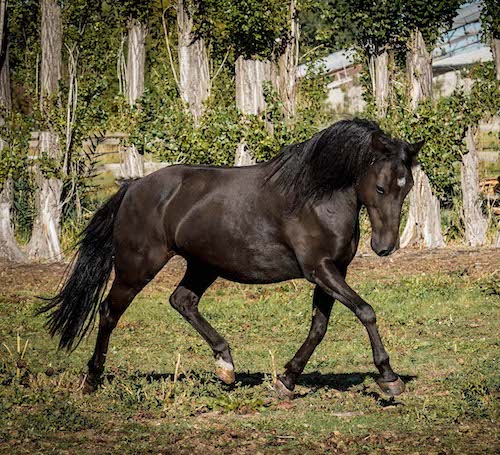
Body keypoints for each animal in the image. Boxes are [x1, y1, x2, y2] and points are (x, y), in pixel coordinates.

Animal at [40, 118, 422, 400]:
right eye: (381, 187)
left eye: (407, 187)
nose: (384, 247)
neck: (316, 197)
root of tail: (133, 186)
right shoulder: (320, 270)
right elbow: (365, 311)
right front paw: (389, 378)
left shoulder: (332, 271)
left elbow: (319, 327)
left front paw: (286, 380)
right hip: (137, 267)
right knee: (109, 311)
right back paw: (92, 379)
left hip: (203, 265)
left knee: (182, 300)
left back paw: (226, 366)